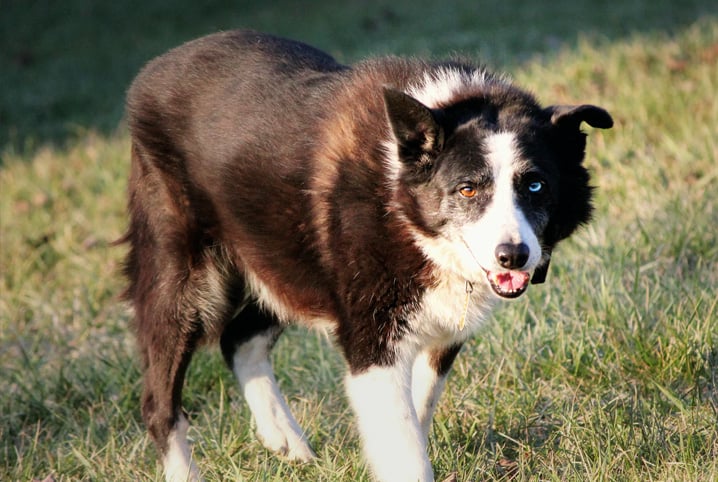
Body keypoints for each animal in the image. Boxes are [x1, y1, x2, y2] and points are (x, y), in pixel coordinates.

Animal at [122, 31, 612, 482]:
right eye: (468, 189)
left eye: (535, 185)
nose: (513, 256)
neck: (401, 202)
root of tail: (149, 73)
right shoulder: (372, 342)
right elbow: (404, 445)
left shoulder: (441, 328)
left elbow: (415, 414)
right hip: (184, 280)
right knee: (159, 404)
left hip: (285, 260)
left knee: (238, 338)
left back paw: (287, 440)